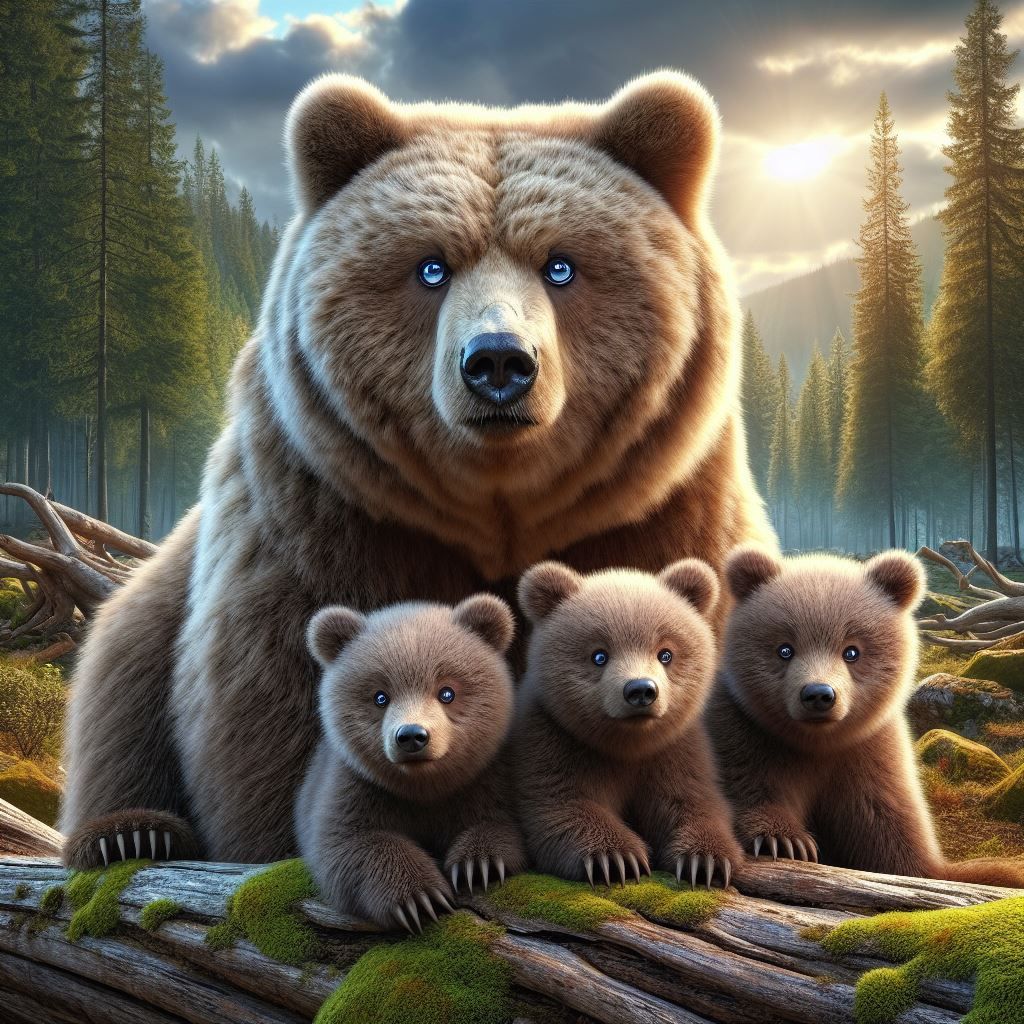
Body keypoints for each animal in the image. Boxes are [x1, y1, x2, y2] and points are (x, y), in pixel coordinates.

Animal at [296, 594, 525, 931]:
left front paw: (478, 865)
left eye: (447, 692)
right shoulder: (354, 785)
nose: (412, 736)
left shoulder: (486, 778)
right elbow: (347, 843)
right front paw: (420, 896)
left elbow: (498, 820)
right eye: (380, 697)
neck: (424, 788)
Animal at [512, 559, 742, 889]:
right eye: (599, 655)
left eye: (665, 653)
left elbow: (692, 800)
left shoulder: (676, 749)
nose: (641, 690)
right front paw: (617, 858)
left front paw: (707, 860)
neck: (628, 746)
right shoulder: (552, 739)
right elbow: (561, 804)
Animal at [709, 545, 1024, 888]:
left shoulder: (871, 755)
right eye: (784, 649)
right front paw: (785, 840)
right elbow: (748, 782)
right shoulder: (743, 730)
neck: (819, 744)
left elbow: (896, 843)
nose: (818, 694)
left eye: (851, 651)